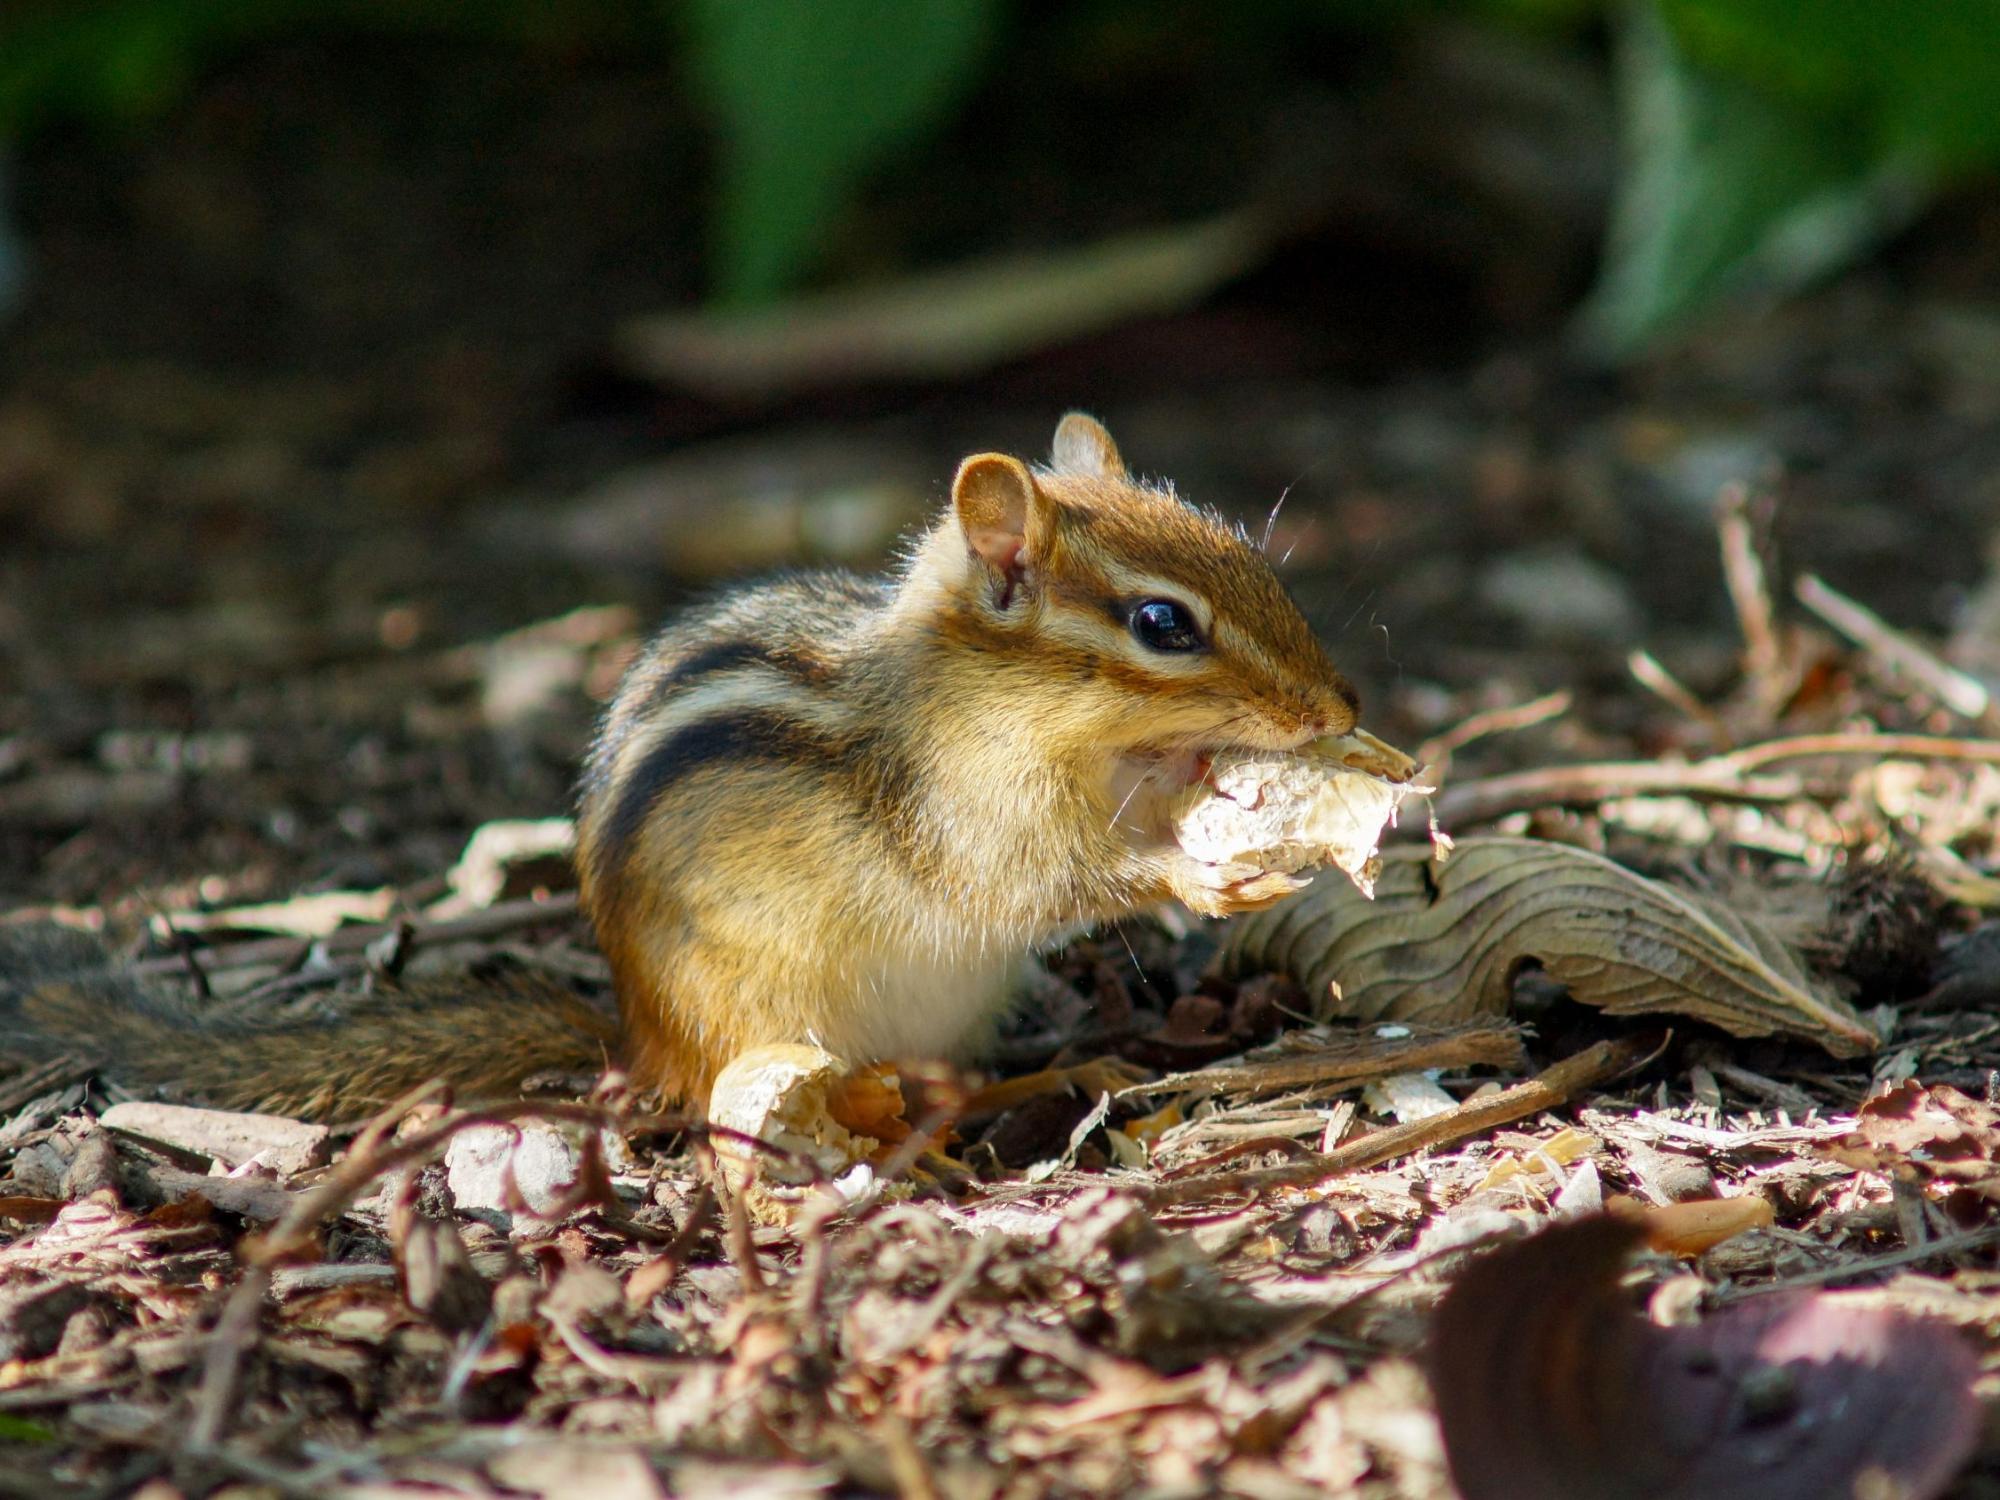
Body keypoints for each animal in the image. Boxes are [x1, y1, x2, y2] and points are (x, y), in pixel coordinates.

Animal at [1, 414, 1358, 1120]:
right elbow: (1049, 879)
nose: (1336, 707)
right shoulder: (966, 815)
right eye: (1162, 625)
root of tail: (638, 1036)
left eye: (1254, 558)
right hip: (774, 1020)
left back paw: (1065, 1067)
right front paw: (1203, 874)